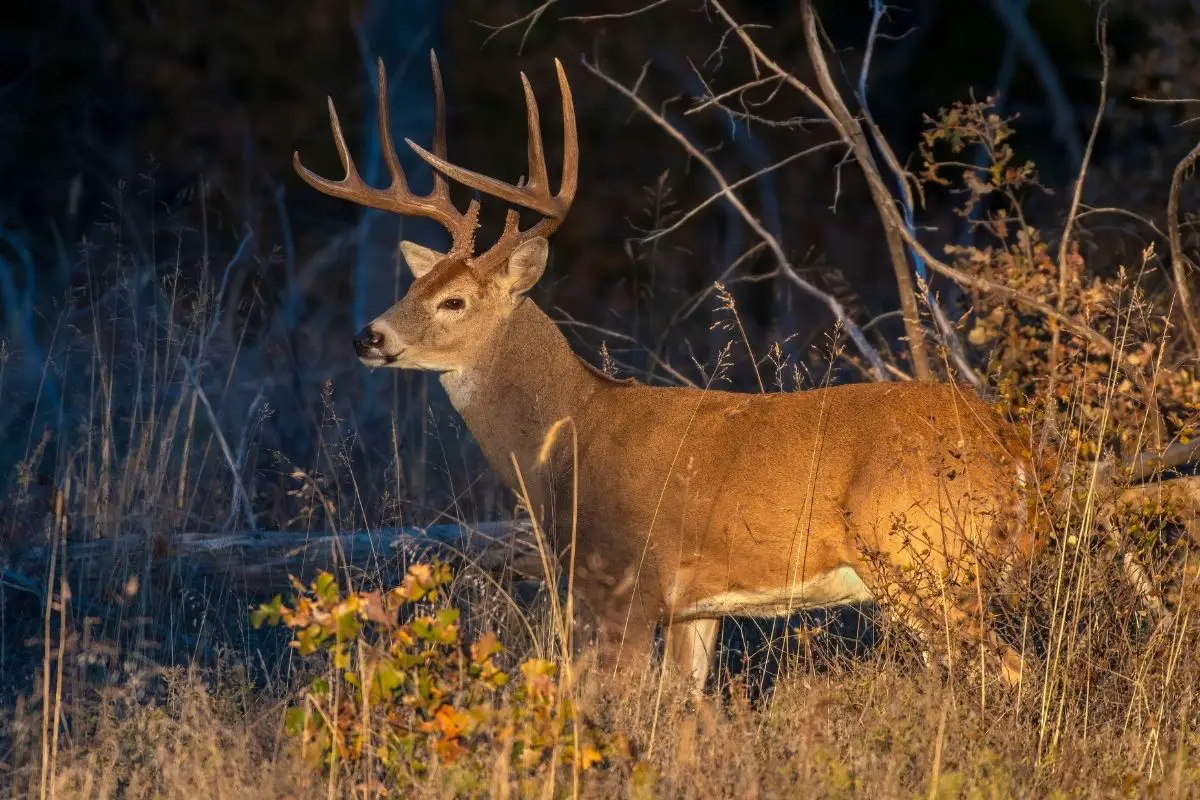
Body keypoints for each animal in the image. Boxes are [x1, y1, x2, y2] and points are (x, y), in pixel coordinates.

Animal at [297, 51, 1051, 695]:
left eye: (453, 301)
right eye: (413, 286)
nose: (368, 337)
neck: (569, 436)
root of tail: (1011, 445)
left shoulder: (626, 583)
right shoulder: (695, 605)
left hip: (925, 562)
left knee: (1013, 669)